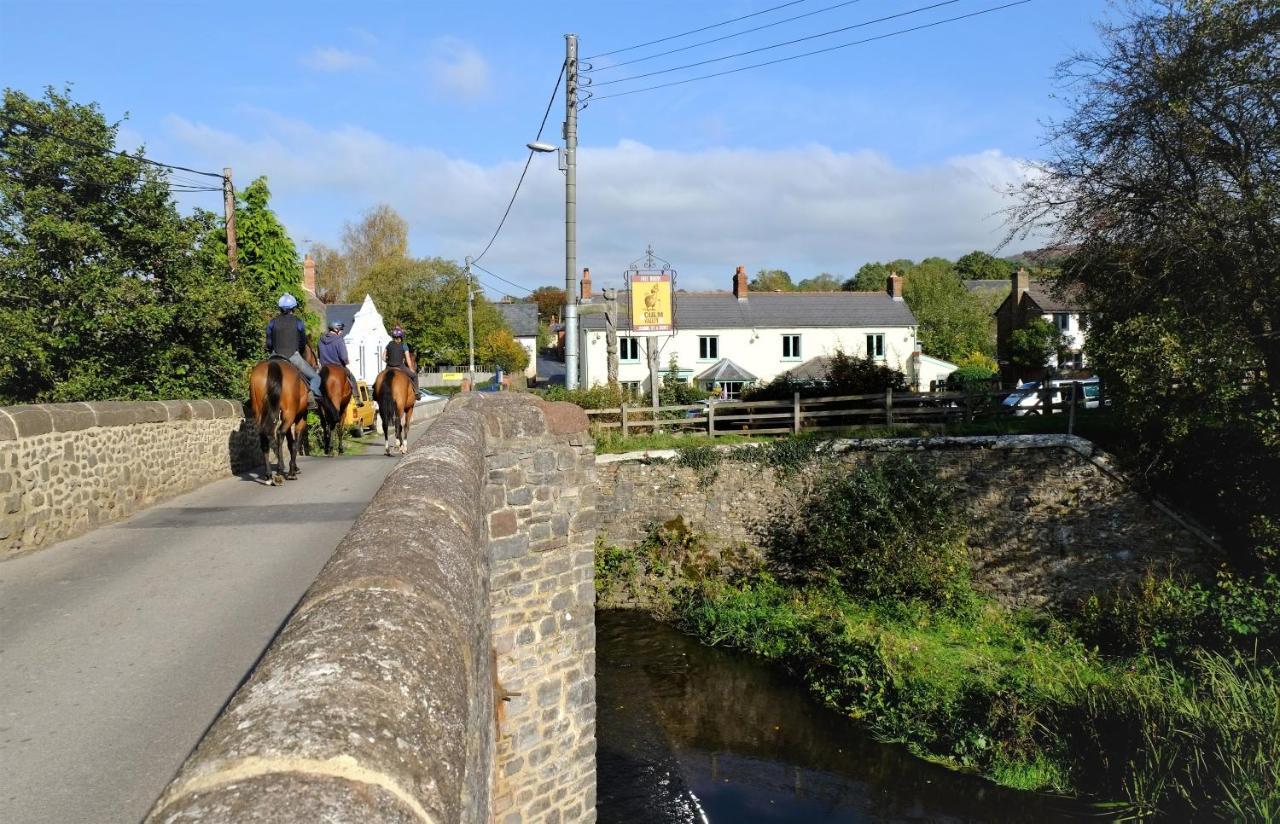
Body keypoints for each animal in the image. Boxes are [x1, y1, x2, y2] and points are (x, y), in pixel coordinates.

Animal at [249, 345, 317, 486]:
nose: (316, 365)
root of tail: (273, 364)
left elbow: (290, 443)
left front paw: (294, 467)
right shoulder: (301, 416)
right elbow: (295, 442)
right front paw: (293, 470)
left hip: (260, 412)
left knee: (264, 435)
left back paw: (269, 475)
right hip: (289, 413)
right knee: (280, 433)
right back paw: (281, 471)